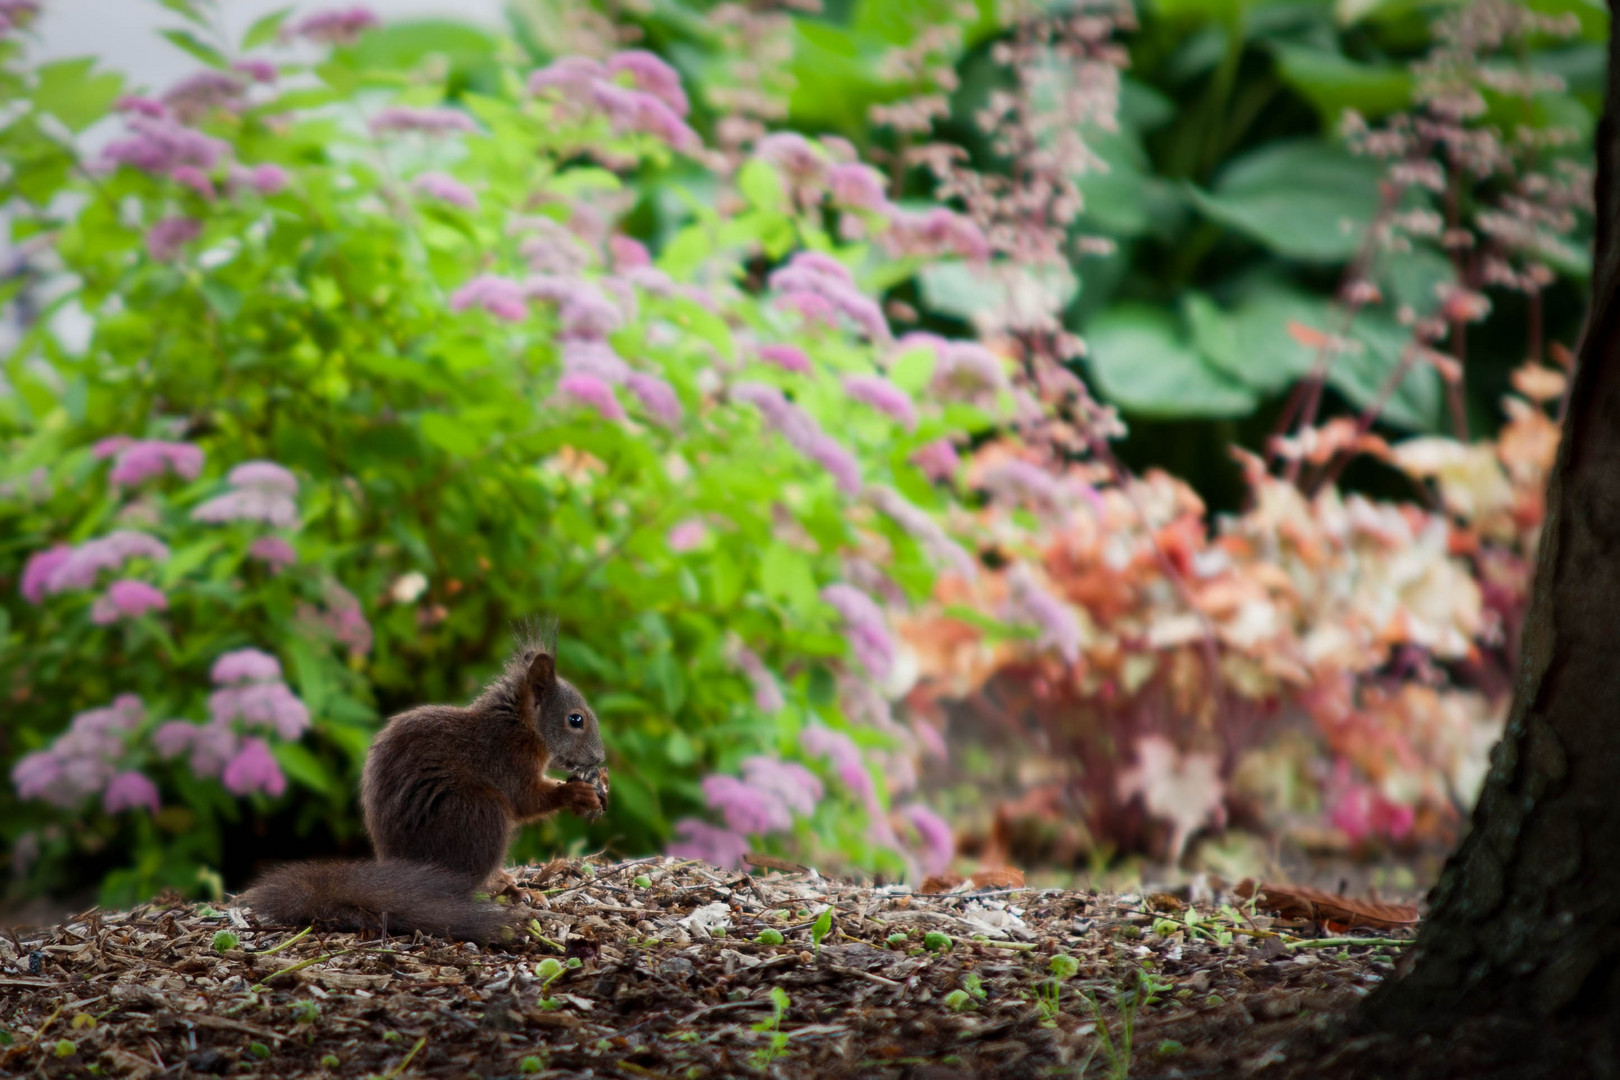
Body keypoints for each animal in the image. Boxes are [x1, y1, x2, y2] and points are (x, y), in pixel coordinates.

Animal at [233, 634, 602, 945]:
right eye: (576, 720)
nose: (599, 758)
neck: (521, 725)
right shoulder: (507, 761)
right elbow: (527, 800)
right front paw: (578, 795)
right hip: (480, 814)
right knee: (466, 886)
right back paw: (504, 892)